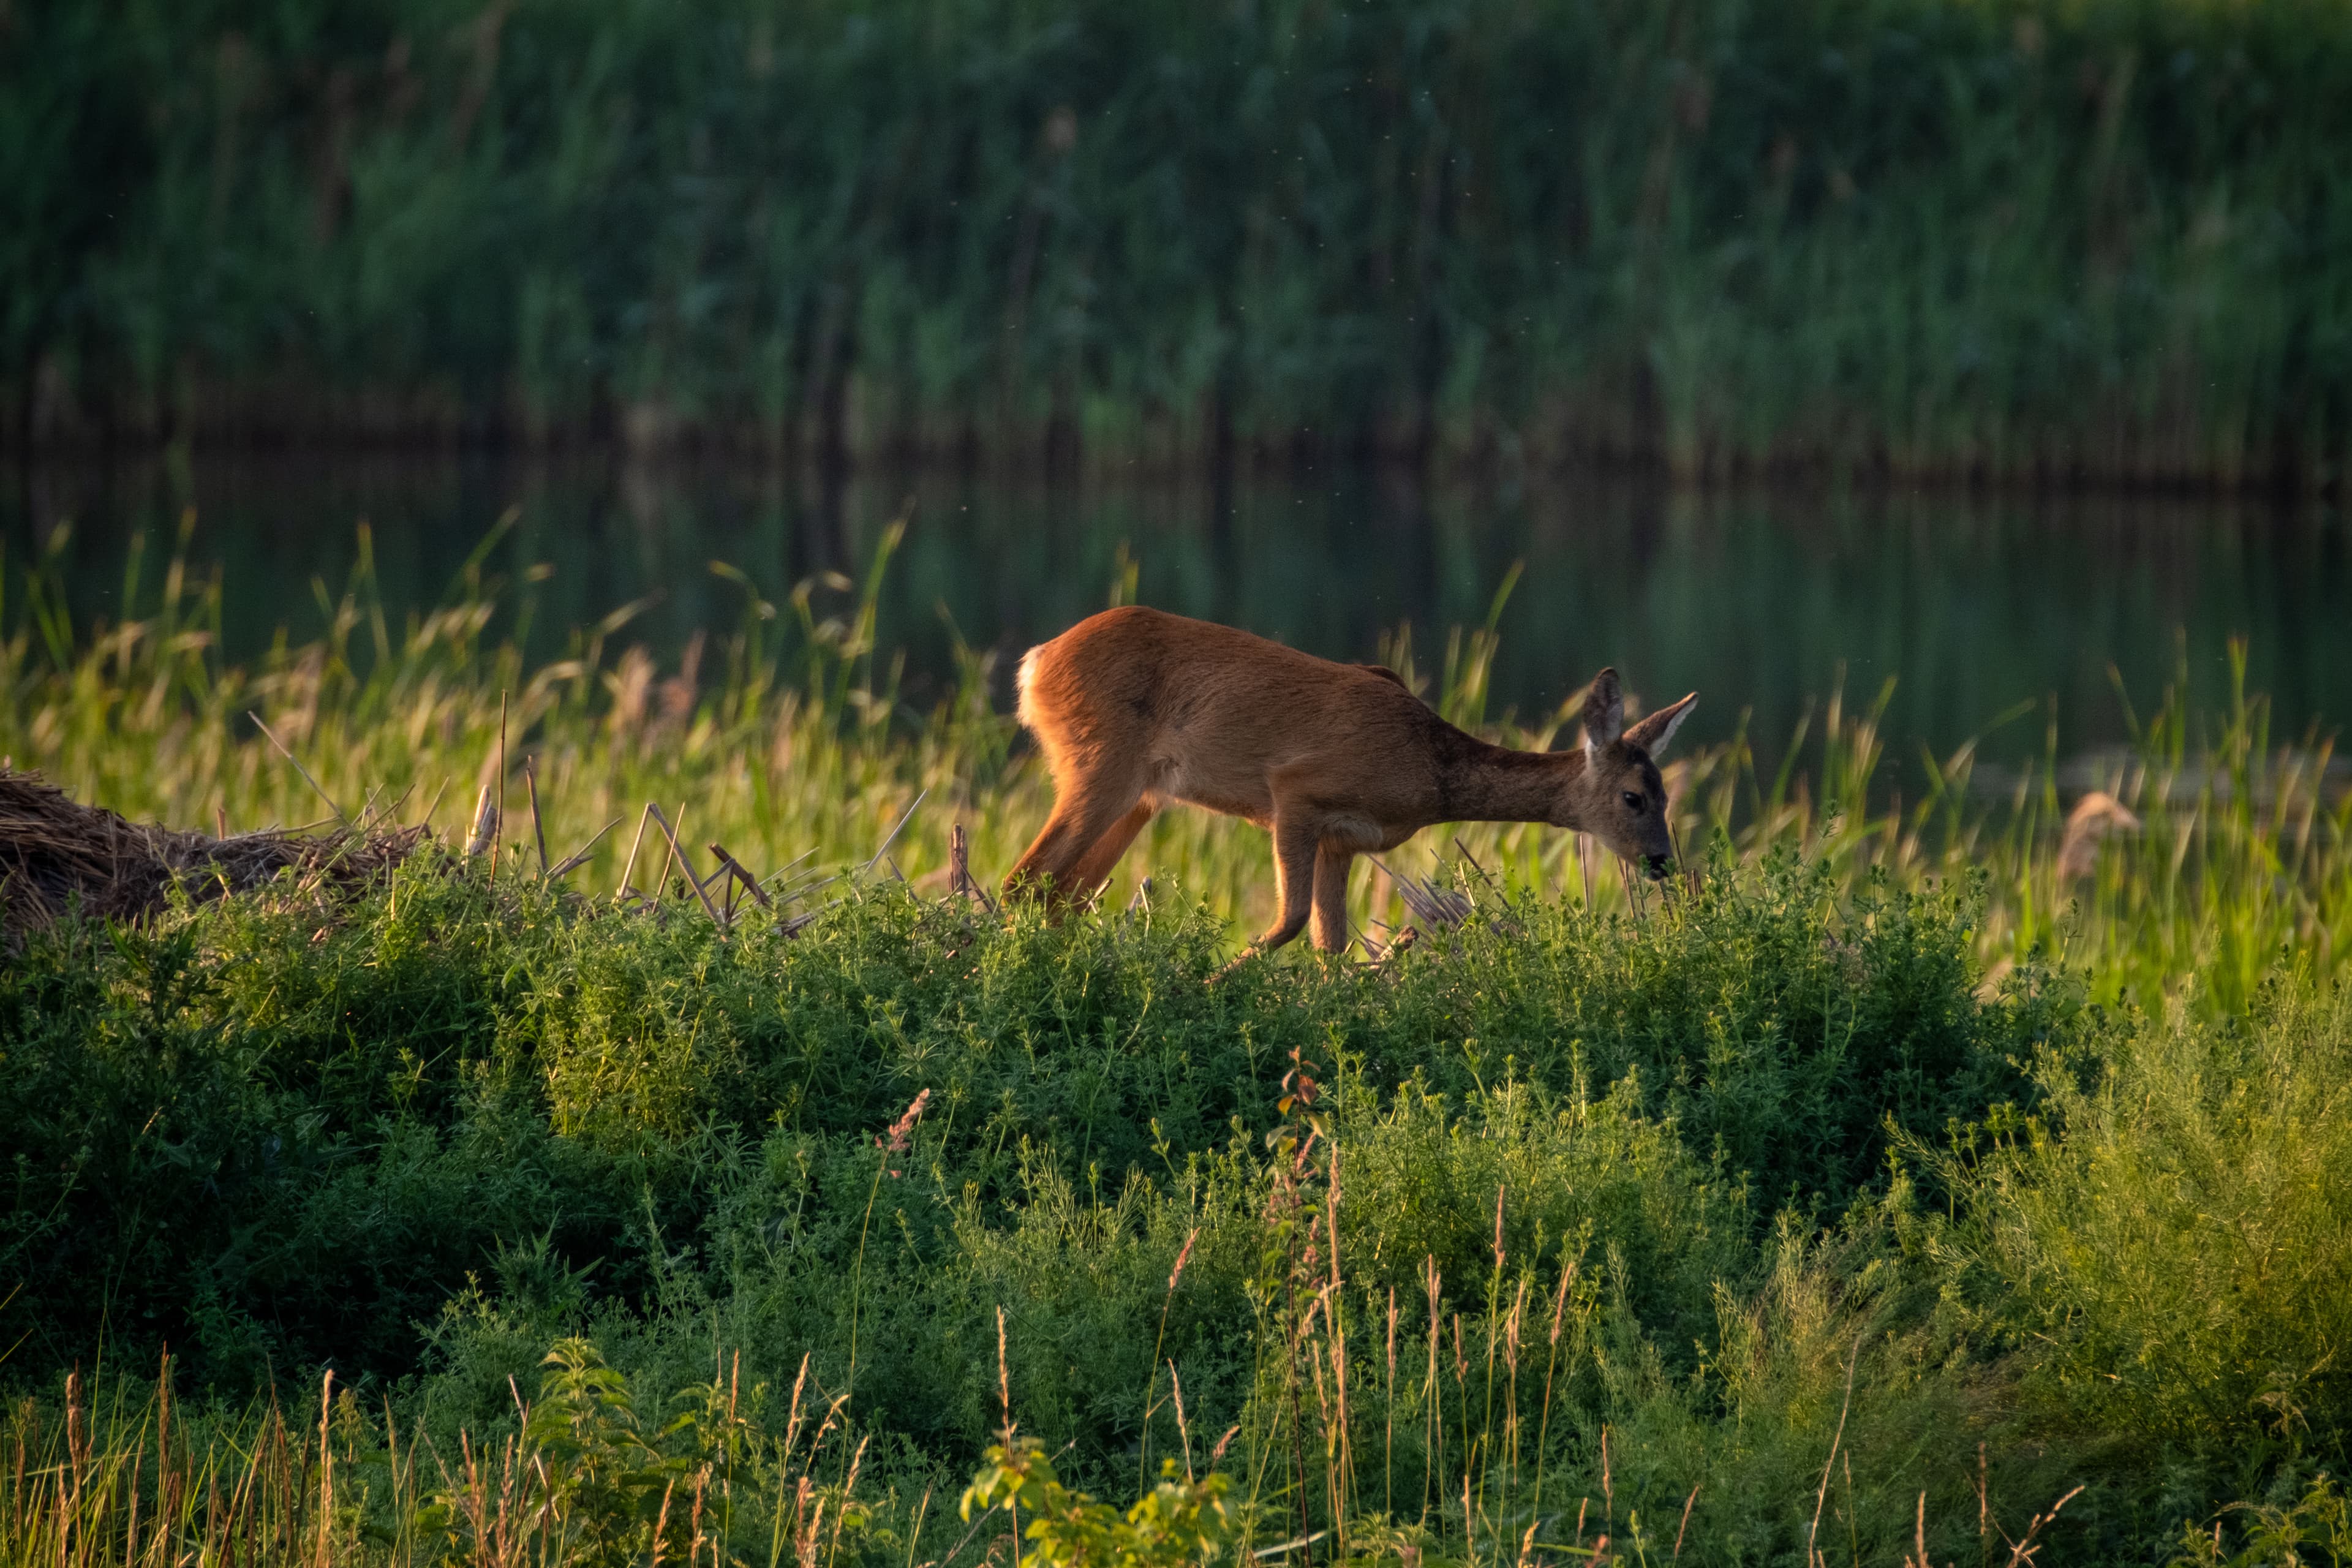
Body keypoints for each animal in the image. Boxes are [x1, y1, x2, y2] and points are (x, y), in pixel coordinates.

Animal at [1000, 605, 1697, 957]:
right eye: (1633, 797)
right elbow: (1288, 921)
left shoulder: (1345, 840)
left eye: (1668, 795)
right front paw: (1218, 981)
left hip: (1141, 797)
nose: (1663, 861)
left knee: (1059, 892)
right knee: (1023, 881)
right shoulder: (1296, 791)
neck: (1429, 772)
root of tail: (1036, 662)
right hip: (1100, 763)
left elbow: (1328, 943)